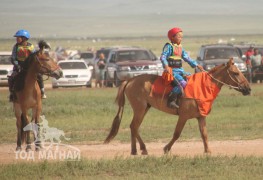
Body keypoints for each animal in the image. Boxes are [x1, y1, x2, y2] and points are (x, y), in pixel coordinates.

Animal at [105, 58, 252, 155]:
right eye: (235, 73)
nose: (248, 88)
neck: (202, 87)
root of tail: (130, 80)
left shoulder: (201, 117)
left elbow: (204, 134)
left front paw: (208, 151)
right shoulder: (183, 116)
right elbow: (177, 134)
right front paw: (166, 148)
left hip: (144, 108)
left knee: (133, 127)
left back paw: (135, 150)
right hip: (140, 109)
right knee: (134, 126)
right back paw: (143, 148)